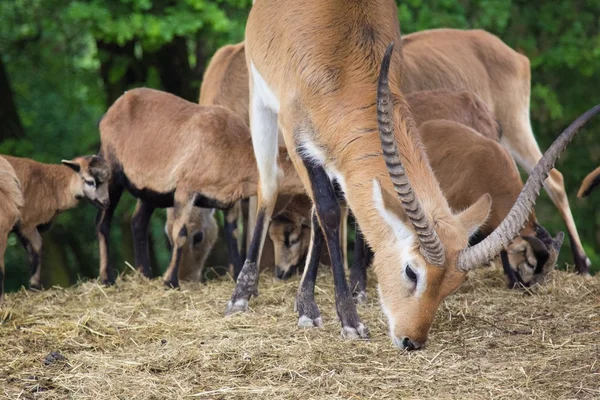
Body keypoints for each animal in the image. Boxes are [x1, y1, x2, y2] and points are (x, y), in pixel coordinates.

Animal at [0, 155, 109, 296]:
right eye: (90, 182)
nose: (106, 202)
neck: (53, 185)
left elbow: (35, 251)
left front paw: (34, 287)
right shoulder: (27, 224)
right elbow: (36, 249)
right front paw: (34, 287)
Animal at [97, 88, 304, 288]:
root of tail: (113, 109)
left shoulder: (229, 200)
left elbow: (233, 233)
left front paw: (236, 275)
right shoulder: (185, 190)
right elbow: (180, 233)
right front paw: (170, 282)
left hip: (150, 191)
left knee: (138, 222)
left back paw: (145, 275)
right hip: (111, 171)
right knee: (103, 222)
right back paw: (107, 279)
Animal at [226, 0, 600, 348]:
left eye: (452, 286)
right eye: (411, 271)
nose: (411, 340)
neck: (341, 61)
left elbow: (328, 217)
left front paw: (317, 305)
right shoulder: (297, 137)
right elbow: (328, 212)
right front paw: (347, 320)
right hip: (262, 107)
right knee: (269, 187)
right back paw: (242, 294)